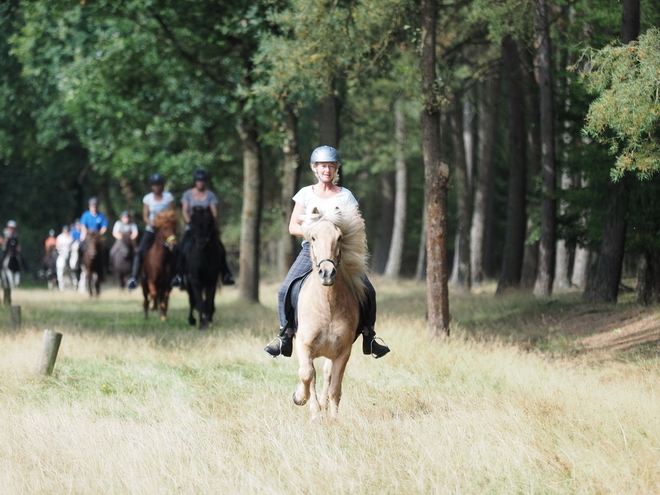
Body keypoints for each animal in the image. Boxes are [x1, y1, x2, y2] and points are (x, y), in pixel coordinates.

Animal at [292, 202, 368, 422]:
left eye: (340, 237)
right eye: (313, 238)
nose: (327, 273)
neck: (327, 305)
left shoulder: (343, 351)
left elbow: (335, 387)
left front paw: (333, 419)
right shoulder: (304, 345)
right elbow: (307, 374)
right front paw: (302, 400)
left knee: (326, 374)